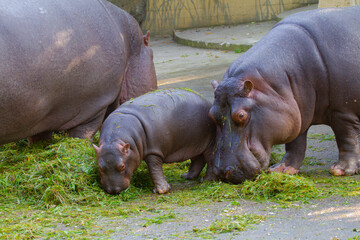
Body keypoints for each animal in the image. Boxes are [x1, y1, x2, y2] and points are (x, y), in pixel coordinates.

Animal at [0, 0, 158, 144]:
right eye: (152, 54)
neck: (127, 40)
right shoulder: (94, 105)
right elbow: (82, 135)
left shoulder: (40, 119)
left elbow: (39, 139)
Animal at [210, 5, 360, 183]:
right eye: (211, 115)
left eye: (241, 115)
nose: (222, 172)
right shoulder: (296, 115)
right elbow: (295, 144)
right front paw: (282, 170)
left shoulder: (343, 112)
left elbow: (347, 138)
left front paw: (341, 170)